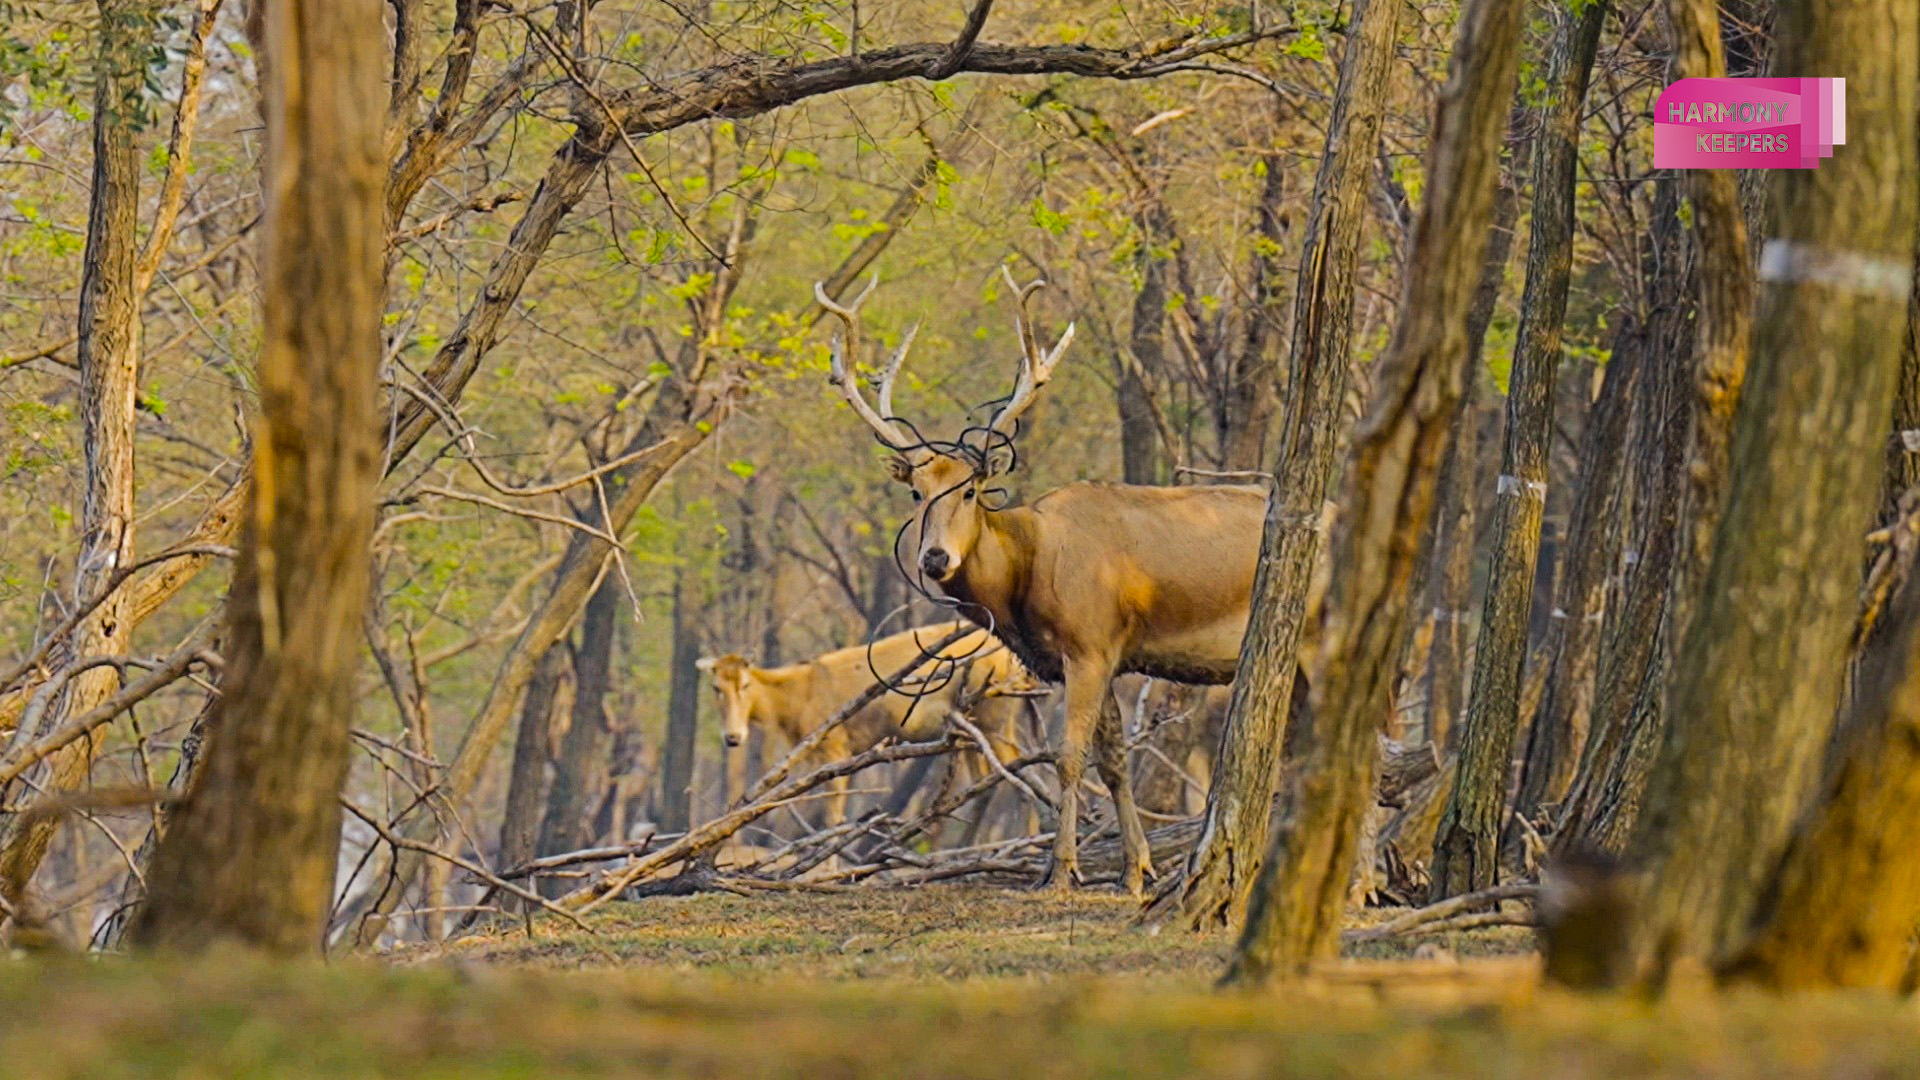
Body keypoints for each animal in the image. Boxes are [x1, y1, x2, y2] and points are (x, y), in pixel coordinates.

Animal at [698, 618, 1036, 818]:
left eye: (745, 685)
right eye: (715, 688)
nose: (733, 737)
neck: (796, 698)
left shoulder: (835, 748)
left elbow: (833, 816)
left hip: (994, 717)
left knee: (1017, 777)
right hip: (977, 725)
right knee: (988, 783)